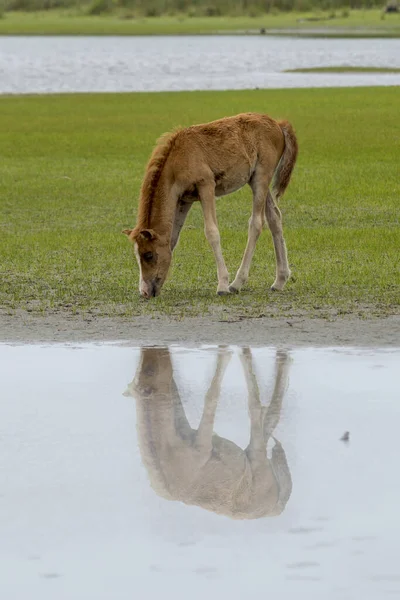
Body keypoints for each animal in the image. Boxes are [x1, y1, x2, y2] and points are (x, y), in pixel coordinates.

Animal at [123, 112, 298, 298]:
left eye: (148, 255)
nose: (145, 292)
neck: (179, 158)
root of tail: (278, 124)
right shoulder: (184, 199)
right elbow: (173, 237)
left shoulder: (206, 186)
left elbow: (212, 232)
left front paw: (222, 285)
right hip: (255, 181)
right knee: (275, 218)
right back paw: (279, 281)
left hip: (261, 176)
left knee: (256, 223)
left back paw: (236, 283)